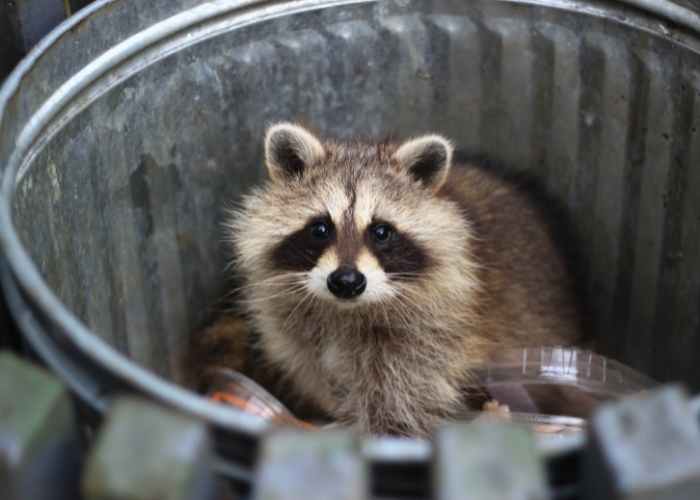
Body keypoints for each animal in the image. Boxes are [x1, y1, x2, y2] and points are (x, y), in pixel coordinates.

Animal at [205, 123, 584, 436]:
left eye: (381, 232)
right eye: (320, 228)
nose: (346, 281)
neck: (346, 311)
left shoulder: (432, 337)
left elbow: (401, 403)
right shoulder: (294, 330)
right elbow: (315, 370)